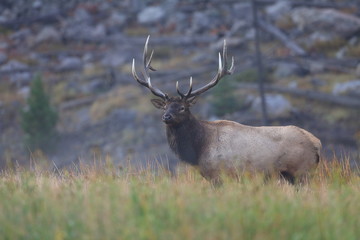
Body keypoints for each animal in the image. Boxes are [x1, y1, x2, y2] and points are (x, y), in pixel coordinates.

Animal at [131, 36, 320, 186]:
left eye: (182, 107)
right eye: (165, 106)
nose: (166, 116)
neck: (199, 148)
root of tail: (317, 143)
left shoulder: (221, 175)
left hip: (302, 171)